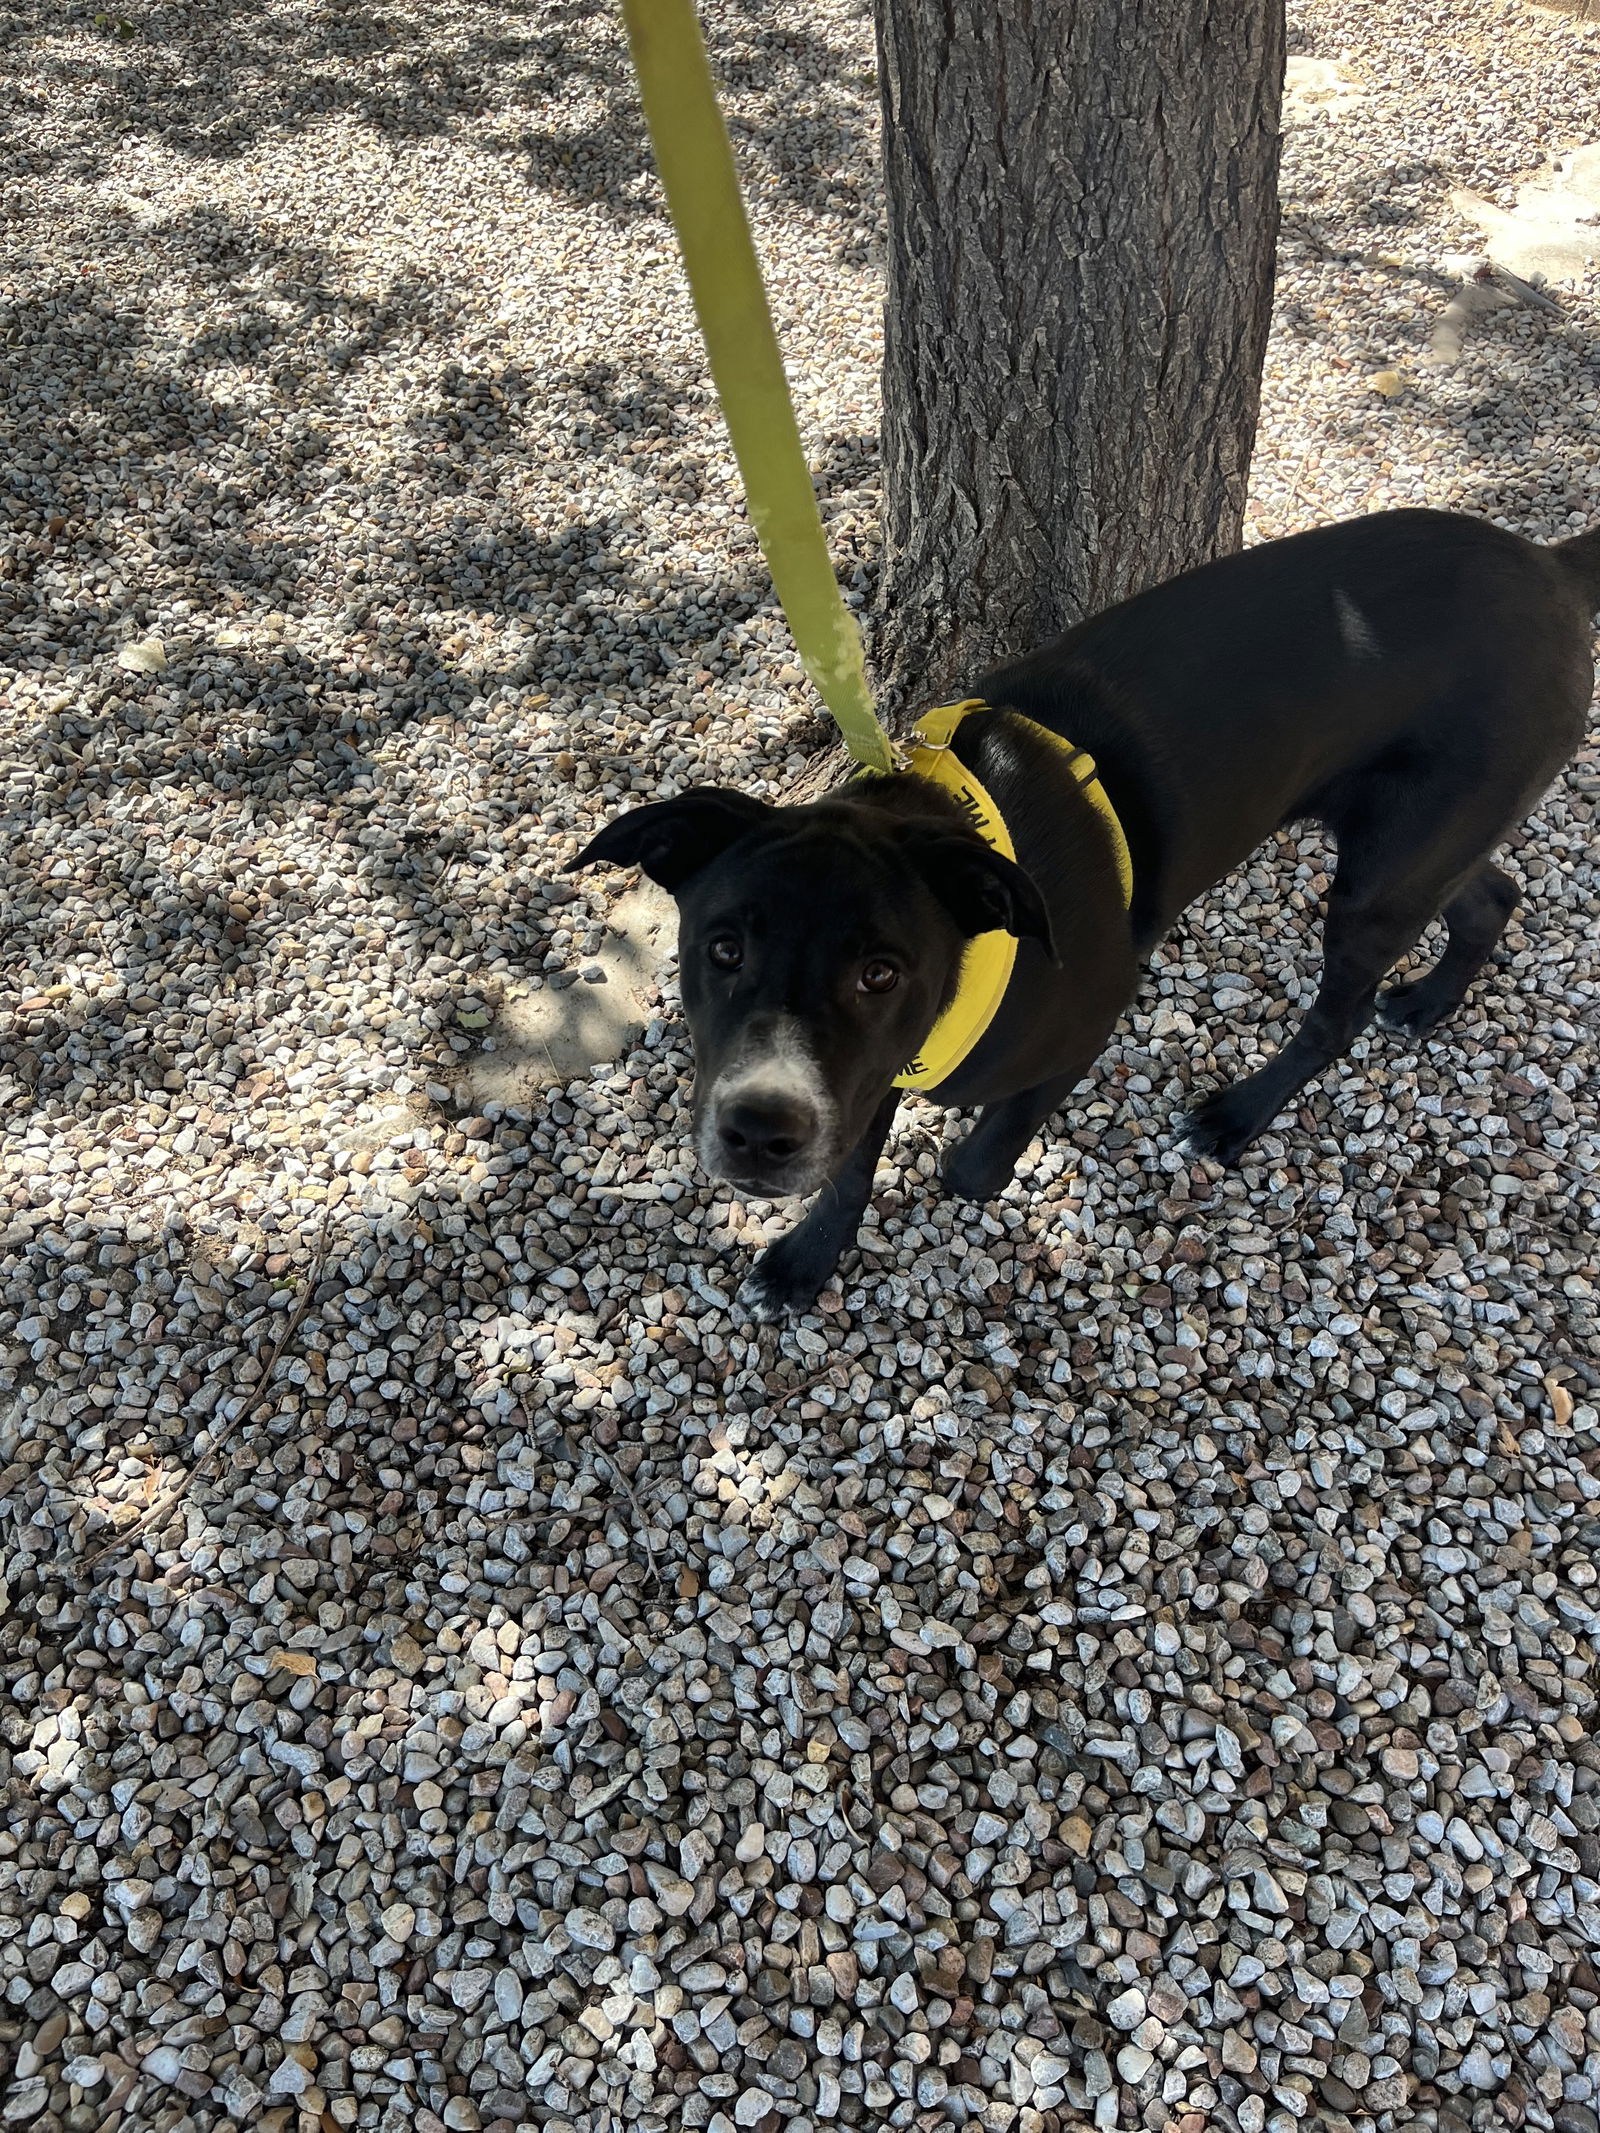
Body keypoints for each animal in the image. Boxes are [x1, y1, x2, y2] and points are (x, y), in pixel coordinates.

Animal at [571, 516, 1595, 1313]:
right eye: (723, 948)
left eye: (881, 971)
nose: (759, 1130)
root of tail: (1551, 567)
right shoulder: (859, 1076)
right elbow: (856, 1157)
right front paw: (807, 1260)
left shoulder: (1082, 1024)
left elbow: (968, 1166)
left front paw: (956, 1178)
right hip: (1412, 836)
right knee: (1491, 894)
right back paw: (1428, 1000)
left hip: (1384, 874)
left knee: (1339, 1014)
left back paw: (1241, 1114)